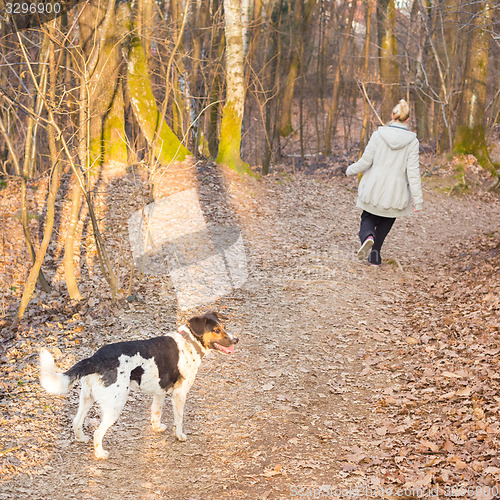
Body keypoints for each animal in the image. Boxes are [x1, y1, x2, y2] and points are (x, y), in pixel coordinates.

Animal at [38, 314, 237, 458]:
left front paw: (157, 428)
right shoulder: (179, 394)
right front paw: (179, 436)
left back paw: (81, 439)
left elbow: (156, 412)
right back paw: (100, 454)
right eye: (216, 330)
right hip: (115, 406)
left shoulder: (160, 392)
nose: (236, 340)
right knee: (98, 433)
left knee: (76, 422)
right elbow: (179, 420)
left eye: (224, 327)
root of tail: (95, 359)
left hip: (87, 398)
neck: (190, 342)